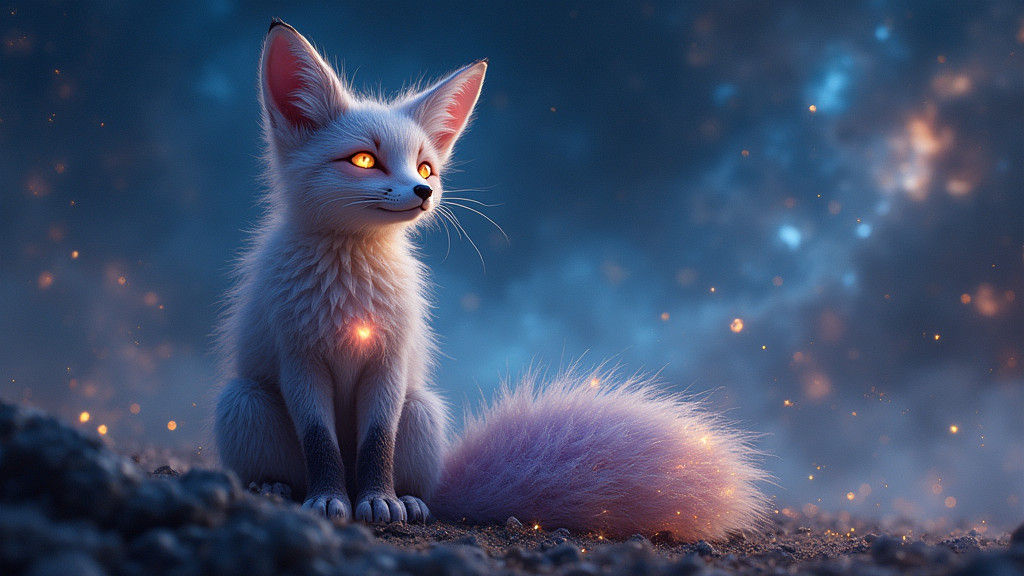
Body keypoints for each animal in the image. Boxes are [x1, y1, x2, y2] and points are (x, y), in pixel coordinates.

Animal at [214, 19, 766, 540]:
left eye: (425, 167)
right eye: (364, 160)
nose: (422, 192)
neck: (349, 286)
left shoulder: (389, 362)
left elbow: (377, 444)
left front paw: (379, 502)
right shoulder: (300, 359)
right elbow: (320, 444)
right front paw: (329, 501)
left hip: (422, 410)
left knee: (416, 481)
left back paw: (408, 501)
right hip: (243, 401)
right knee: (290, 470)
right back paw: (277, 487)